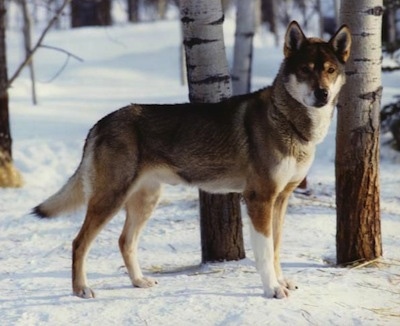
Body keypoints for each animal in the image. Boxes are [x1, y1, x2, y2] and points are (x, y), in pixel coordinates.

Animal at [32, 21, 352, 300]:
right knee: (79, 243)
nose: (322, 94)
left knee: (125, 241)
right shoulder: (259, 198)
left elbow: (275, 248)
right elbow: (264, 253)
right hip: (110, 199)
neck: (289, 121)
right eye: (305, 70)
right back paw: (81, 289)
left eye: (330, 70)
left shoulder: (281, 199)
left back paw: (139, 281)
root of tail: (99, 124)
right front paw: (272, 289)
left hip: (145, 201)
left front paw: (282, 282)